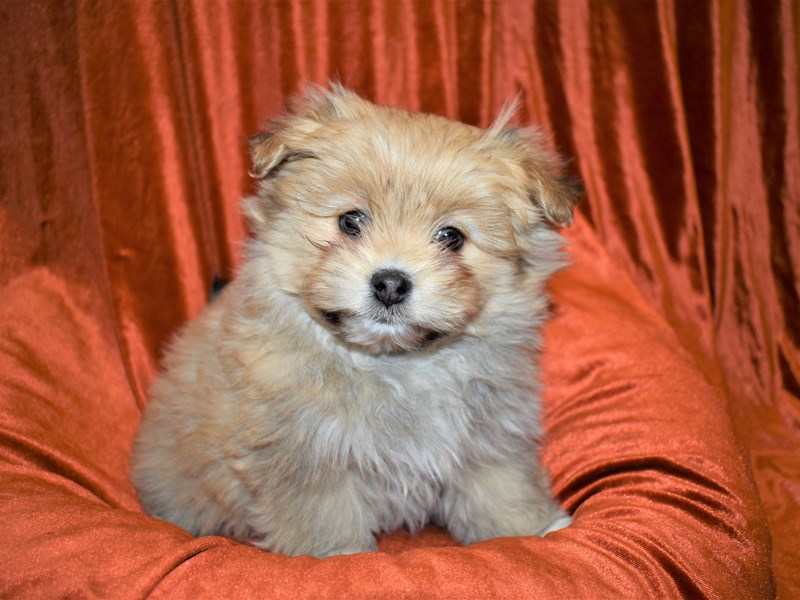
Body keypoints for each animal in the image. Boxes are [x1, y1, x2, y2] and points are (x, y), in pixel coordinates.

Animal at [133, 86, 580, 560]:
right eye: (350, 221)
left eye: (452, 237)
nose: (390, 283)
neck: (397, 362)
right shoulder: (306, 458)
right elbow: (325, 518)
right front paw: (340, 557)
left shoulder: (490, 439)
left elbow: (501, 490)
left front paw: (532, 530)